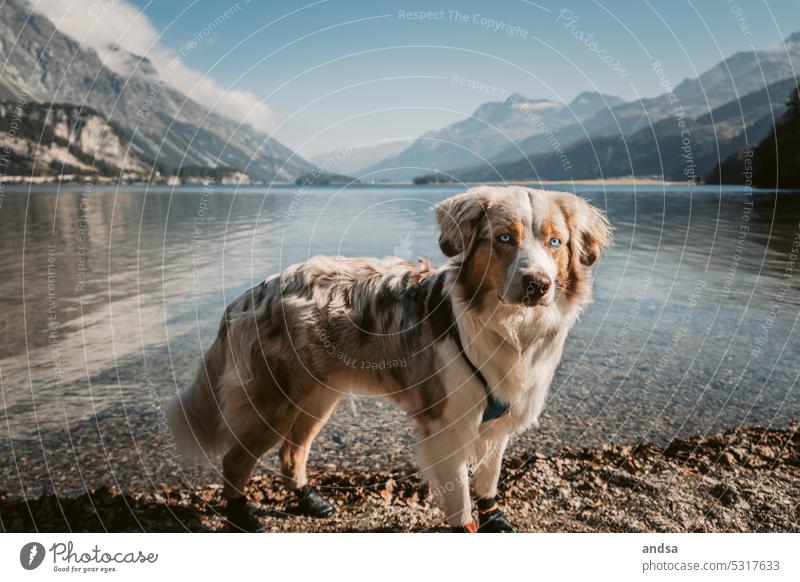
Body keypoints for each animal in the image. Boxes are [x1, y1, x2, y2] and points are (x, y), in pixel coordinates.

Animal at [166, 187, 608, 532]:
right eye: (503, 238)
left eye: (555, 242)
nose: (537, 285)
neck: (508, 328)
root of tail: (254, 291)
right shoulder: (447, 427)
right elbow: (460, 502)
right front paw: (468, 525)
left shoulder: (497, 418)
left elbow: (488, 479)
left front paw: (495, 518)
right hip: (273, 403)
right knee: (235, 460)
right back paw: (241, 516)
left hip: (316, 397)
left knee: (291, 454)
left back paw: (310, 501)